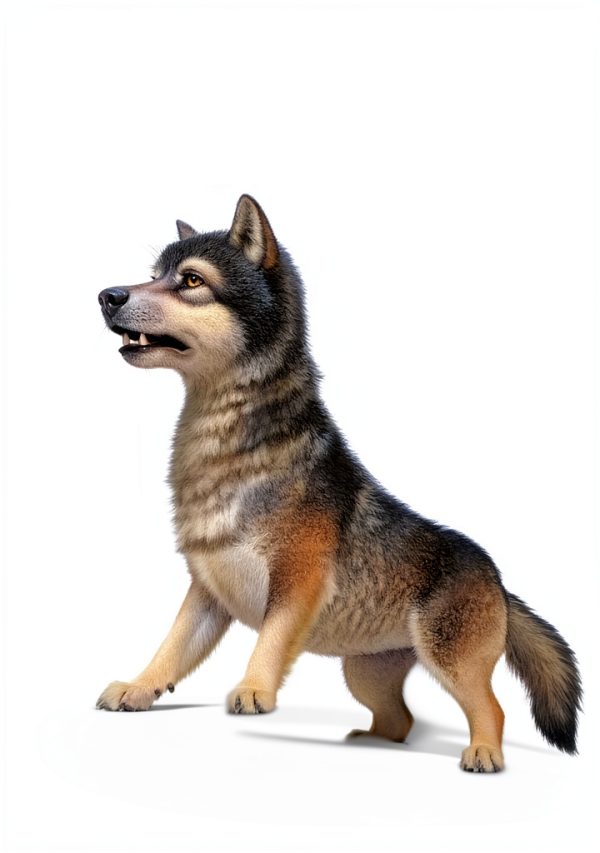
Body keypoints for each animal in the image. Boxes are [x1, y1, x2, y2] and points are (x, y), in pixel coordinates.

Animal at [96, 195, 582, 772]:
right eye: (154, 276)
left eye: (191, 280)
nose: (107, 296)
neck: (228, 451)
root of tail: (501, 583)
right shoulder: (206, 593)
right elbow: (170, 649)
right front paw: (139, 687)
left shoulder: (298, 581)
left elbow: (270, 640)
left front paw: (254, 689)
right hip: (363, 675)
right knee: (400, 722)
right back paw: (367, 742)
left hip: (450, 662)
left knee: (493, 708)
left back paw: (483, 753)